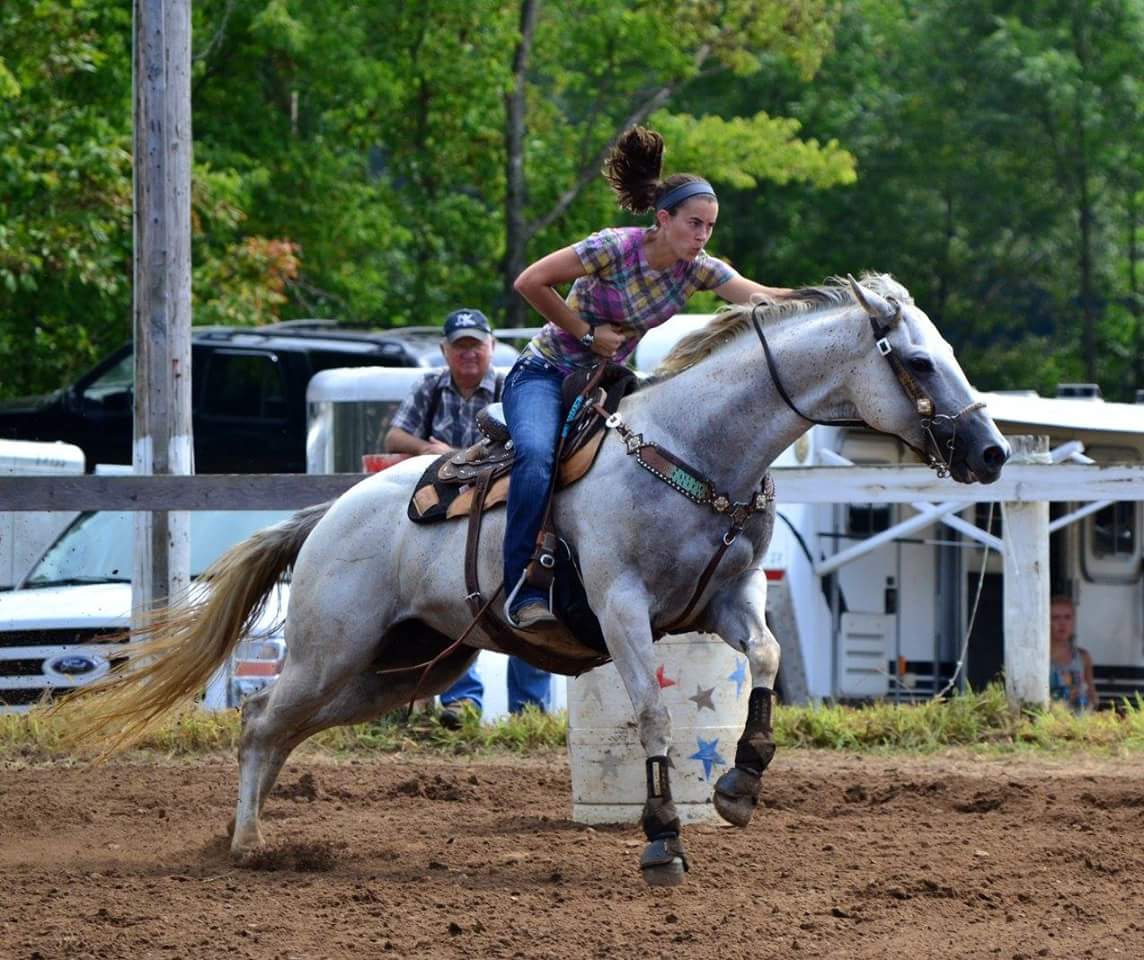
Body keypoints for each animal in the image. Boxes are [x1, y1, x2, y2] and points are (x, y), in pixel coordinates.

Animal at [62, 270, 1011, 887]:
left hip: (406, 666)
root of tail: (327, 515)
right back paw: (248, 845)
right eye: (916, 362)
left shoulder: (728, 601)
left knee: (279, 723)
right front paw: (662, 840)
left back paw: (249, 835)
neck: (696, 448)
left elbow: (770, 661)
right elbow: (653, 711)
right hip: (334, 649)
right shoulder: (623, 609)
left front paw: (740, 786)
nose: (993, 452)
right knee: (263, 720)